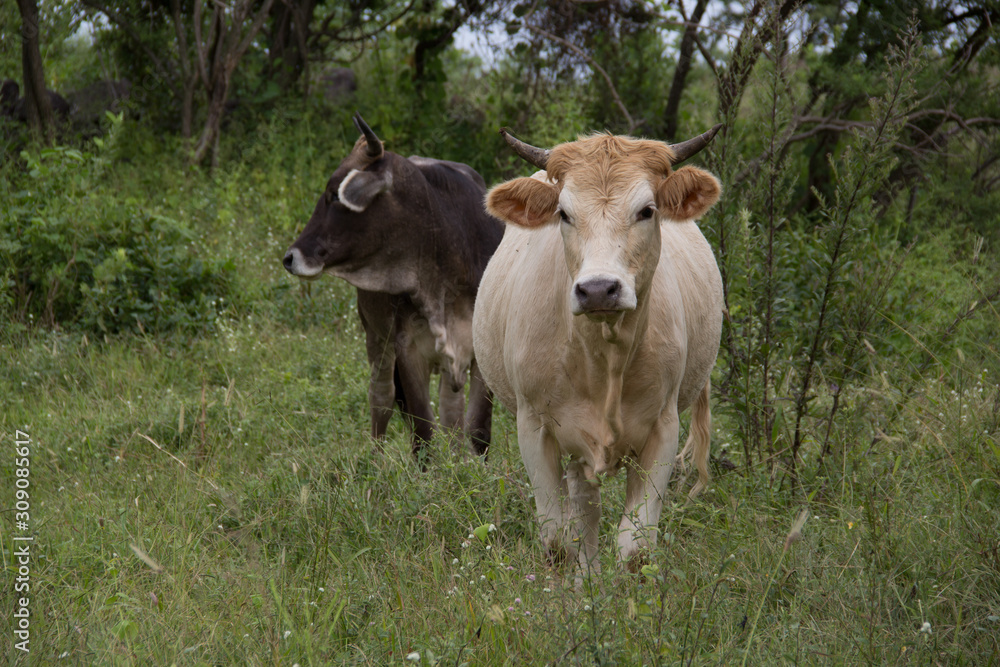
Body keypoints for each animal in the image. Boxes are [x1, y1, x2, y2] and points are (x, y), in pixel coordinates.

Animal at [472, 126, 724, 576]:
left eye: (647, 211)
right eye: (563, 214)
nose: (597, 289)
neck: (602, 357)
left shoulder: (663, 429)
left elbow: (634, 549)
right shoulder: (533, 428)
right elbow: (557, 543)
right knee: (583, 513)